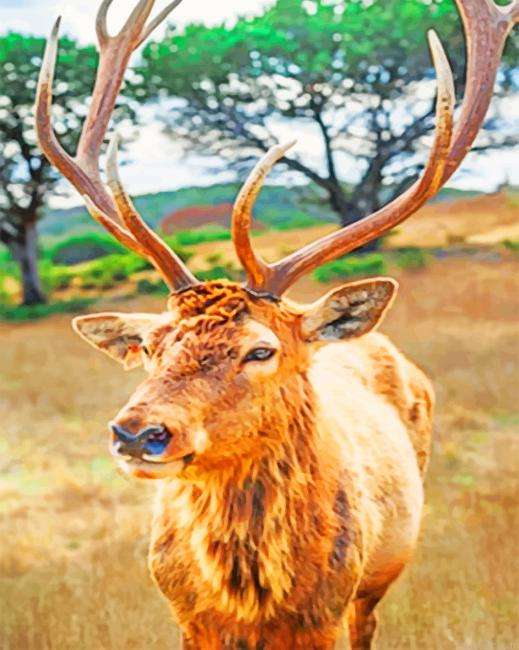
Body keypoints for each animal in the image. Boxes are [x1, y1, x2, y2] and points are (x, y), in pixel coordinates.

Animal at [35, 1, 517, 648]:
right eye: (152, 347)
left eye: (260, 350)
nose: (137, 433)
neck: (252, 602)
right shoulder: (187, 618)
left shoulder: (327, 611)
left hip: (377, 577)